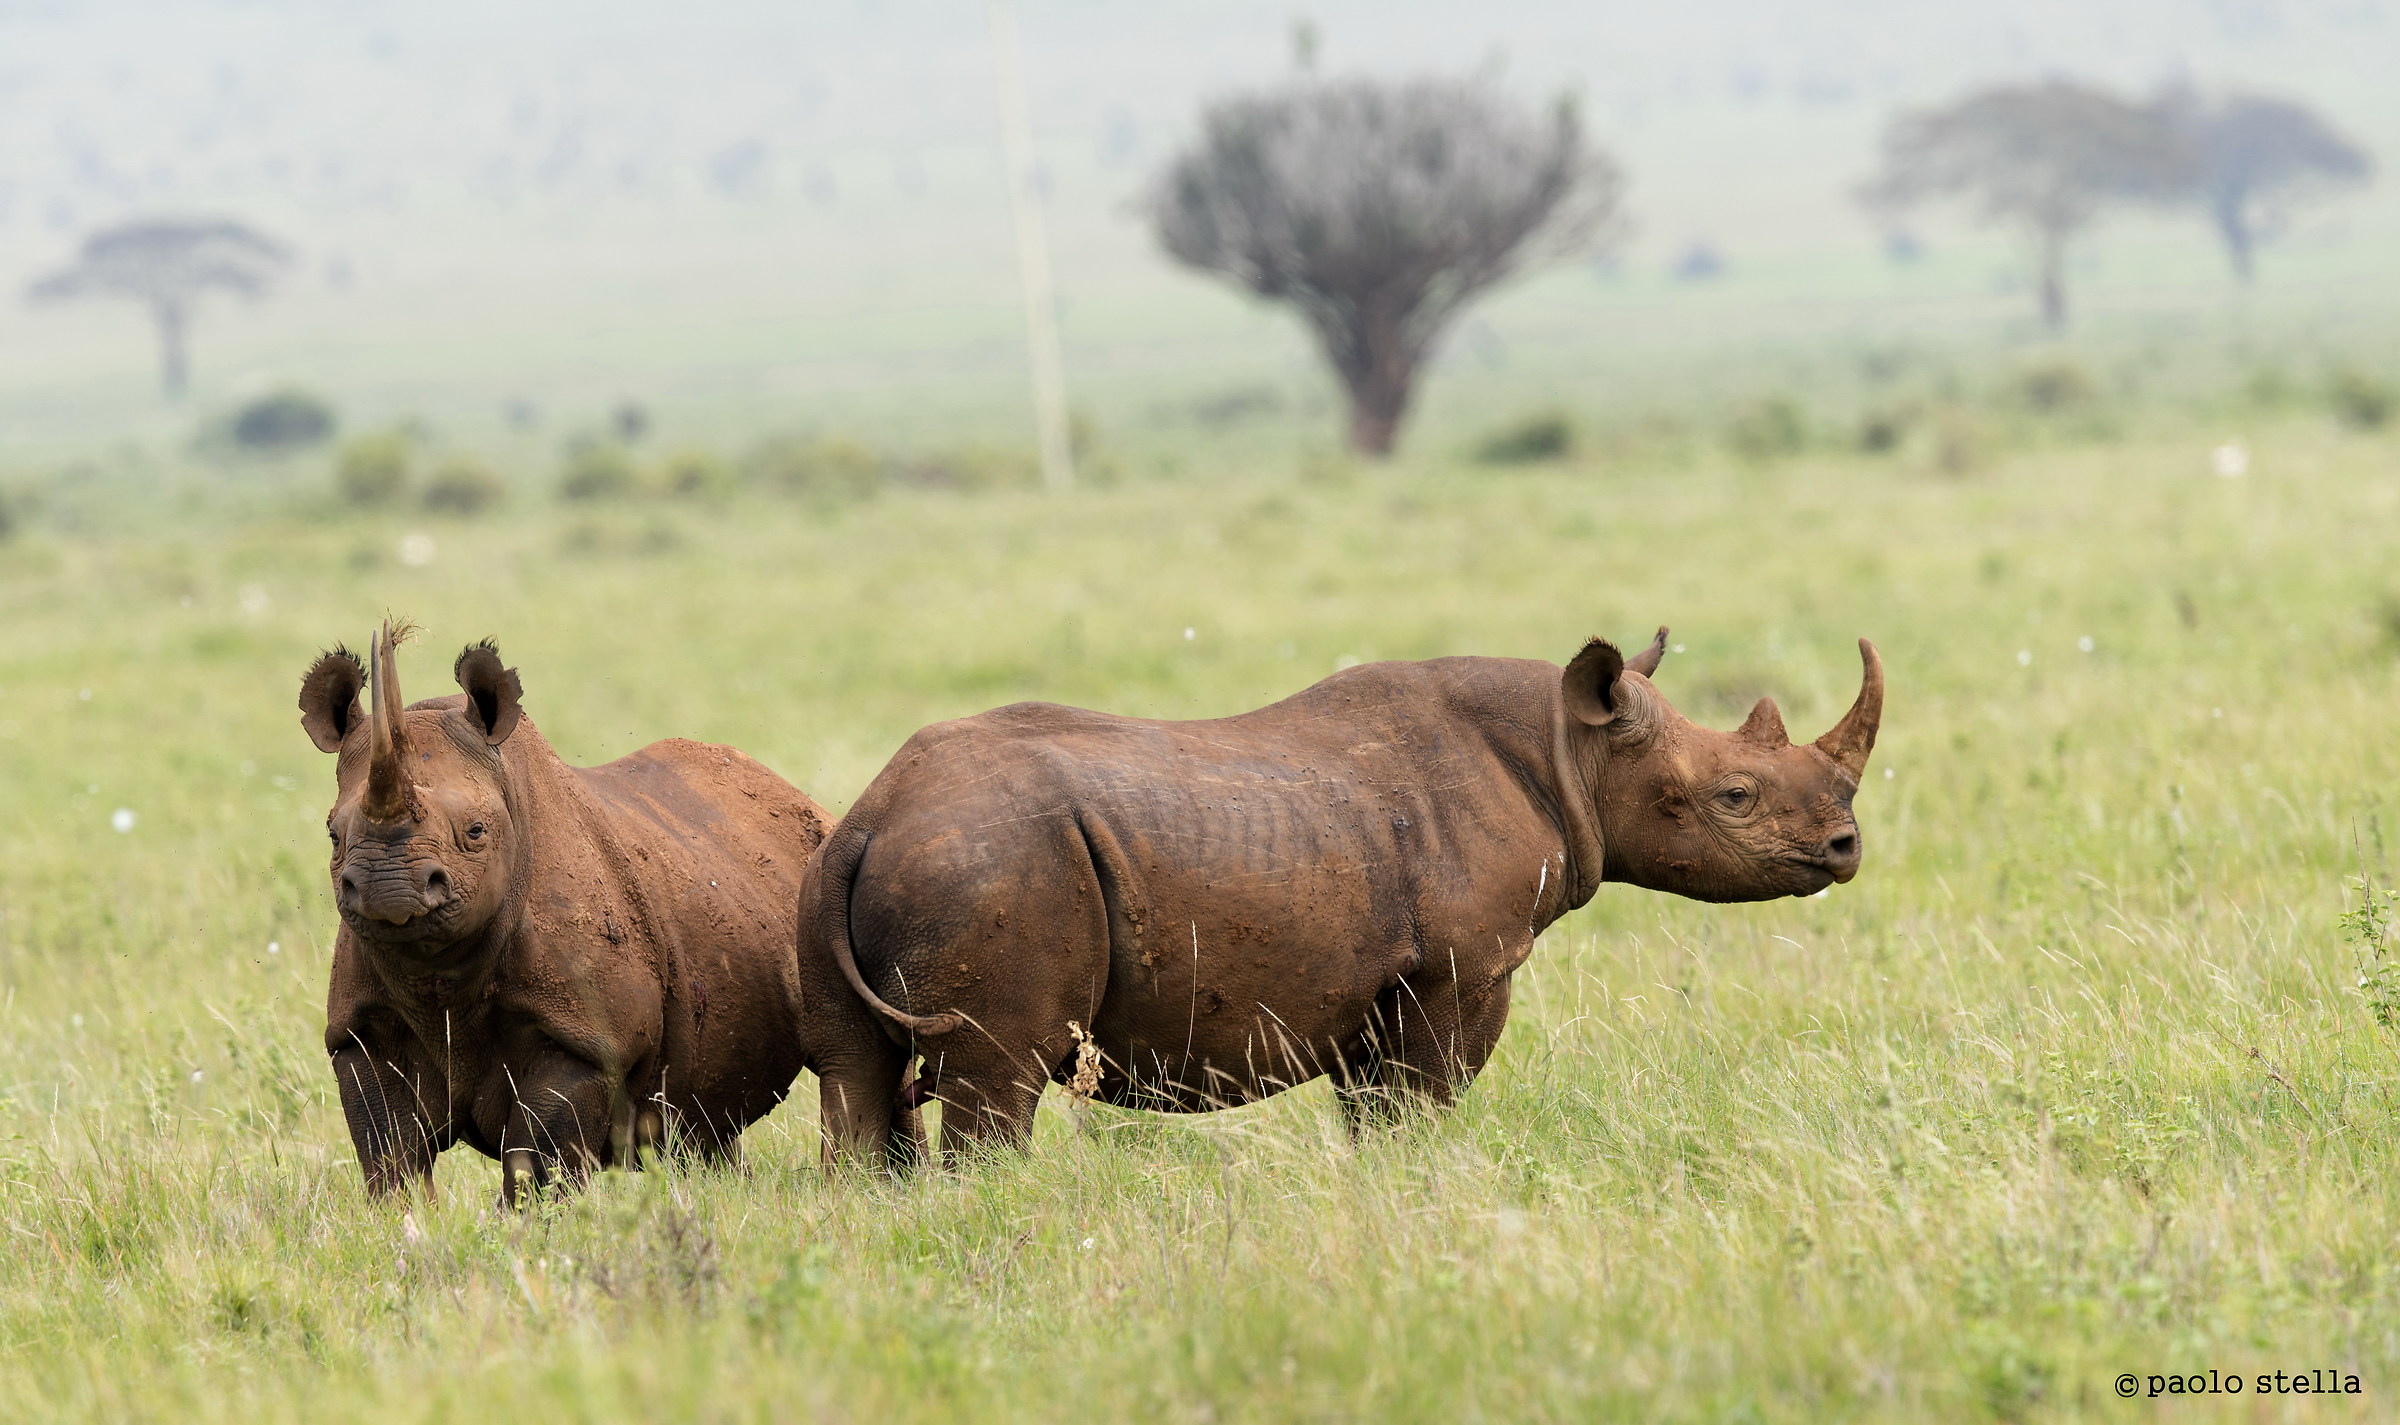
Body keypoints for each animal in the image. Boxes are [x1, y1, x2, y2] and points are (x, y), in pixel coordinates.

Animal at [299, 622, 866, 1200]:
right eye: (333, 835)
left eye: (475, 832)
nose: (388, 889)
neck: (438, 978)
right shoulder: (359, 1032)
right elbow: (389, 1152)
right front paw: (406, 1216)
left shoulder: (584, 1038)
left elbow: (536, 1159)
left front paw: (530, 1220)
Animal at [806, 628, 1881, 1162]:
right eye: (1735, 796)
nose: (1845, 848)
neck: (1570, 747)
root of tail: (871, 817)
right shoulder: (1461, 972)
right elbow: (1425, 1104)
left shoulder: (1380, 986)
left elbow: (1375, 1111)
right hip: (997, 864)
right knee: (999, 1085)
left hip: (849, 877)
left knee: (859, 1089)